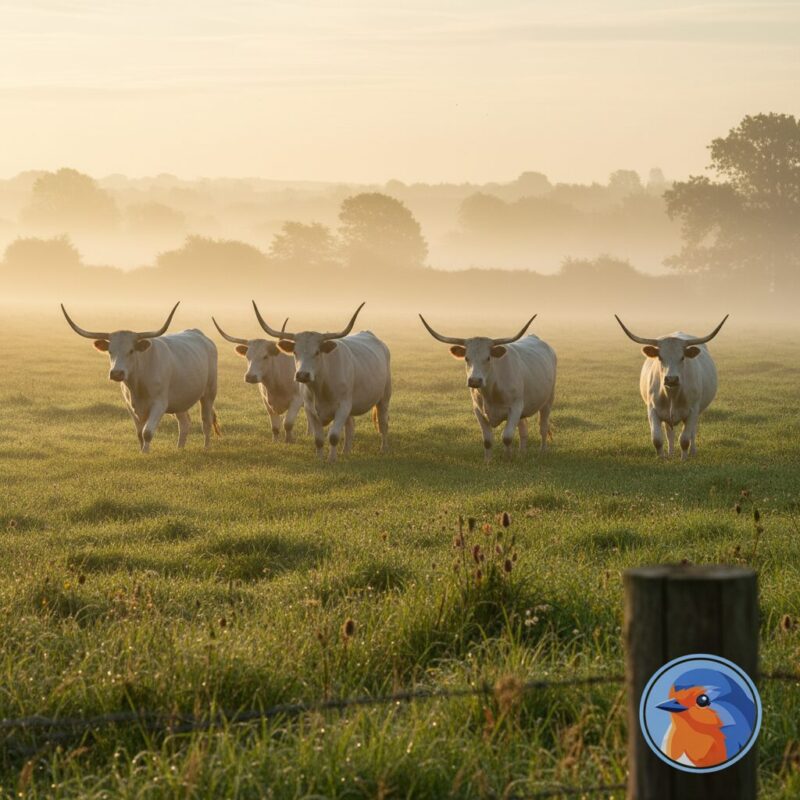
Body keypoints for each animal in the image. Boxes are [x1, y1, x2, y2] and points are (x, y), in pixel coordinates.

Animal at [60, 302, 220, 453]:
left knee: (206, 421)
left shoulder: (159, 404)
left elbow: (147, 432)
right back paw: (179, 449)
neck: (138, 383)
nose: (116, 373)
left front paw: (145, 453)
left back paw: (206, 448)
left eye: (131, 350)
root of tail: (200, 335)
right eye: (110, 351)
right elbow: (139, 433)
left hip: (209, 393)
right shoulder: (131, 406)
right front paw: (142, 452)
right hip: (180, 400)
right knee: (184, 423)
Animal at [252, 301, 391, 463]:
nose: (302, 375)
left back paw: (383, 449)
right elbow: (318, 439)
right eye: (295, 352)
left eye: (317, 352)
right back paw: (346, 452)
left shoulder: (342, 407)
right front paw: (319, 459)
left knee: (383, 422)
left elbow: (334, 436)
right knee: (350, 426)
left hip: (384, 397)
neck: (321, 387)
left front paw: (331, 460)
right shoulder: (310, 409)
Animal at [419, 314, 557, 463]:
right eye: (466, 358)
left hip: (548, 401)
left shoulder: (515, 407)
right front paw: (488, 462)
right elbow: (487, 440)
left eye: (488, 358)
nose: (474, 380)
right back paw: (522, 454)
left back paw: (542, 452)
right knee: (523, 430)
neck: (491, 391)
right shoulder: (478, 410)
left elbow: (507, 437)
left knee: (543, 427)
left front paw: (508, 459)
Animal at [614, 314, 729, 459]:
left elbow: (684, 439)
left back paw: (692, 453)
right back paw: (670, 453)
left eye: (682, 357)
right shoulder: (652, 410)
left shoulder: (692, 411)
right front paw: (662, 458)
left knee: (692, 433)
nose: (671, 379)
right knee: (669, 433)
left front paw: (684, 459)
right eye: (659, 357)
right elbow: (657, 439)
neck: (672, 394)